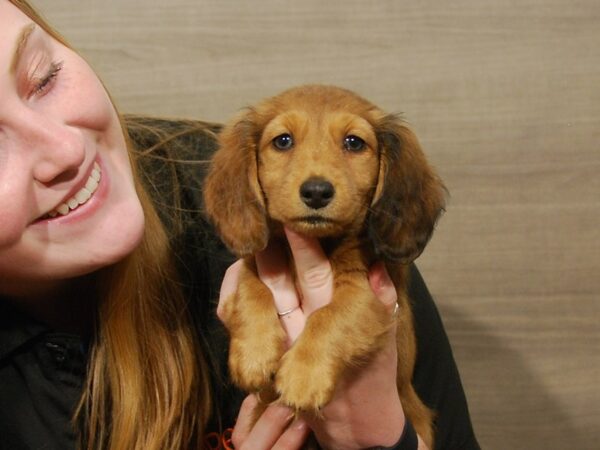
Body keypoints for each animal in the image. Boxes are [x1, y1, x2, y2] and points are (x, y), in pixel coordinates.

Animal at [204, 84, 442, 446]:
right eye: (283, 141)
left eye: (354, 142)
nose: (316, 192)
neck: (321, 245)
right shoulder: (254, 264)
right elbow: (251, 288)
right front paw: (254, 354)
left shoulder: (371, 300)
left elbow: (330, 316)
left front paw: (304, 375)